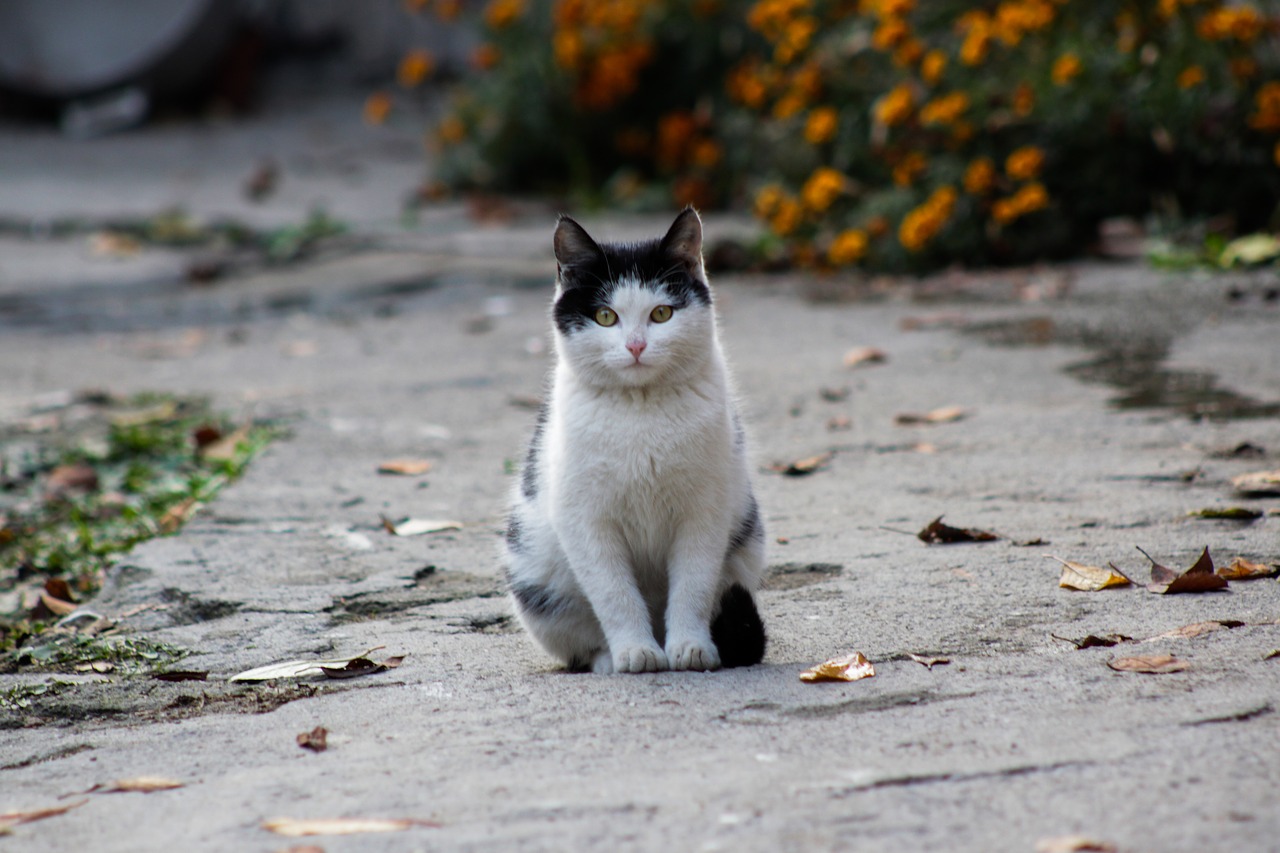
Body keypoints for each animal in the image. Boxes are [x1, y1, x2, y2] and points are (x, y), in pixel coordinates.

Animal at [501, 206, 762, 671]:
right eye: (606, 316)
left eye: (661, 314)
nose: (637, 346)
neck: (640, 410)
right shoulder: (585, 521)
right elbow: (614, 594)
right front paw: (635, 649)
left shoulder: (705, 513)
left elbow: (693, 585)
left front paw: (690, 646)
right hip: (535, 580)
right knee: (581, 640)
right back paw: (610, 657)